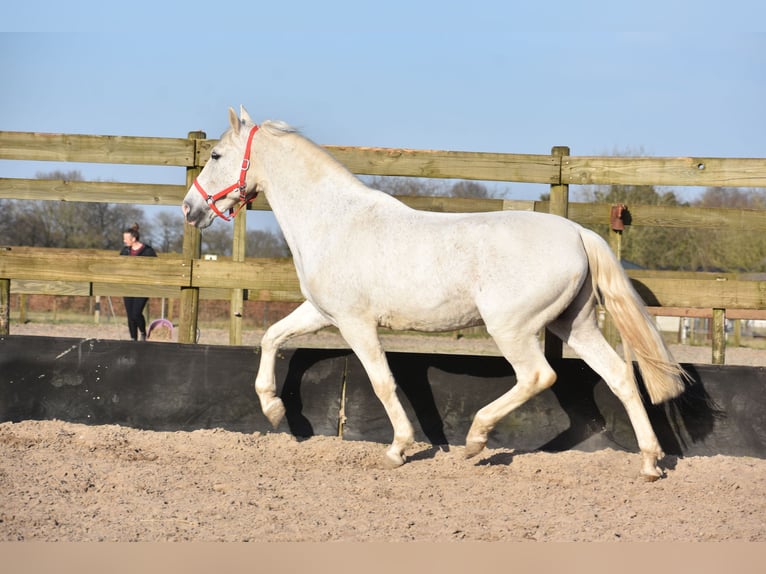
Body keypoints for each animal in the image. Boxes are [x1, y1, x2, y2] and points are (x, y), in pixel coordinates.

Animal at [183, 107, 688, 482]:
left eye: (216, 155)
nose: (190, 209)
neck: (335, 220)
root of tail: (579, 233)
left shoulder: (355, 323)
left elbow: (382, 382)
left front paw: (399, 449)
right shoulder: (322, 312)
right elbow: (272, 337)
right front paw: (273, 411)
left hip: (513, 328)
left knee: (538, 376)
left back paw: (475, 441)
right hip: (575, 324)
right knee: (620, 377)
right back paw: (649, 463)